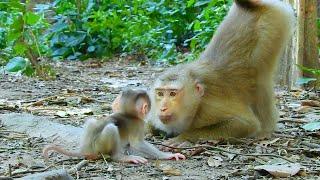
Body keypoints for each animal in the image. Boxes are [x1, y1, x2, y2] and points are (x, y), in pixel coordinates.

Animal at [43, 89, 186, 164]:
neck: (128, 114)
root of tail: (86, 149)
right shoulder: (139, 124)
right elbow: (137, 143)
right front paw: (166, 155)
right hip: (99, 146)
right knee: (111, 129)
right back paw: (121, 157)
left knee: (92, 121)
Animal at [146, 0, 294, 145]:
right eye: (160, 94)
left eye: (172, 93)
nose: (162, 108)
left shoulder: (209, 107)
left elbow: (246, 123)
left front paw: (183, 137)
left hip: (271, 26)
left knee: (261, 79)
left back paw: (265, 130)